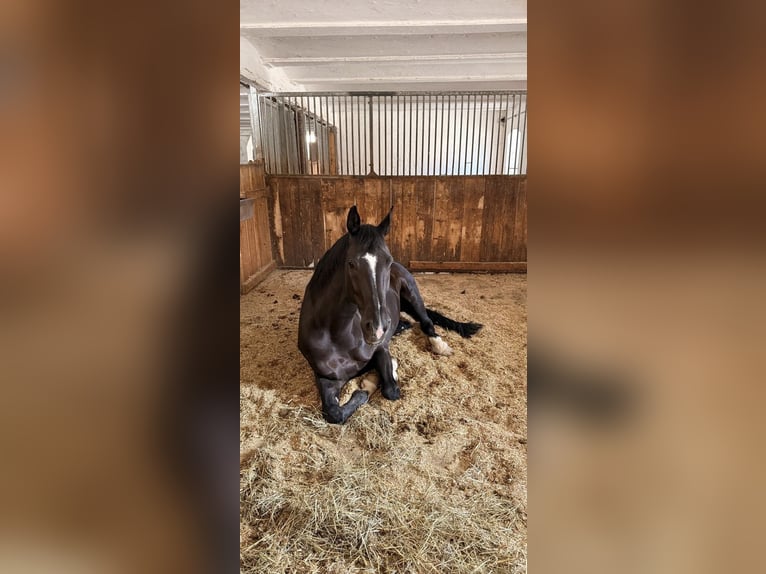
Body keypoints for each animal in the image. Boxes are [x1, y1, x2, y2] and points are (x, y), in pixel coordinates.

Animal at [298, 205, 483, 424]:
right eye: (351, 263)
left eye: (388, 260)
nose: (377, 328)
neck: (336, 334)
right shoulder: (326, 378)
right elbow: (333, 413)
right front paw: (368, 384)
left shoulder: (380, 349)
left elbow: (390, 389)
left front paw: (376, 379)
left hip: (413, 294)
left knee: (426, 322)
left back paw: (440, 345)